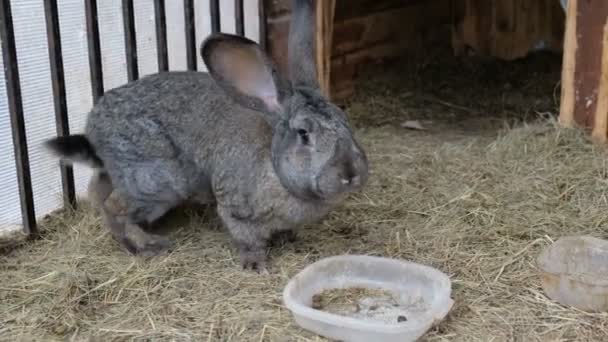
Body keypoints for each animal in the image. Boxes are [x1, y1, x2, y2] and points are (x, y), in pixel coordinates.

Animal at [45, 0, 368, 272]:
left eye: (346, 122)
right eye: (304, 134)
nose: (351, 173)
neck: (275, 169)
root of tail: (93, 130)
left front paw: (287, 239)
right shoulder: (236, 210)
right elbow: (246, 238)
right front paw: (256, 265)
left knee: (97, 192)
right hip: (157, 183)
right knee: (115, 207)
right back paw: (148, 246)